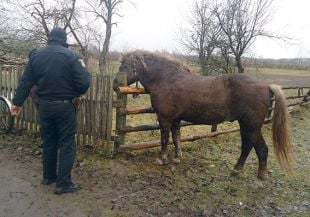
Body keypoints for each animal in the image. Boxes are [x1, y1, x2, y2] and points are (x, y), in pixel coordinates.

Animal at [112, 50, 292, 180]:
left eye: (124, 66)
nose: (114, 85)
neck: (166, 79)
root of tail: (266, 85)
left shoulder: (165, 119)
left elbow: (164, 139)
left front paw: (161, 159)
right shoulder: (176, 120)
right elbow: (176, 138)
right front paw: (177, 158)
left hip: (251, 126)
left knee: (261, 149)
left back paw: (261, 175)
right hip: (245, 125)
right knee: (247, 147)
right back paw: (236, 170)